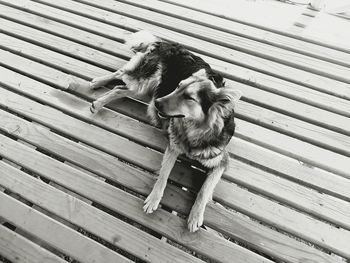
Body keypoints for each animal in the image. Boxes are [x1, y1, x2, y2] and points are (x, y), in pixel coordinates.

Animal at [82, 31, 241, 233]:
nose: (157, 104)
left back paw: (98, 93)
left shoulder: (221, 163)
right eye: (178, 86)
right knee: (122, 79)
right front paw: (154, 199)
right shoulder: (173, 147)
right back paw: (99, 88)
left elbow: (204, 191)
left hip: (147, 90)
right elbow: (164, 175)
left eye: (189, 97)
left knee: (120, 86)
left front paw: (195, 216)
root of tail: (165, 43)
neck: (196, 129)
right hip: (147, 83)